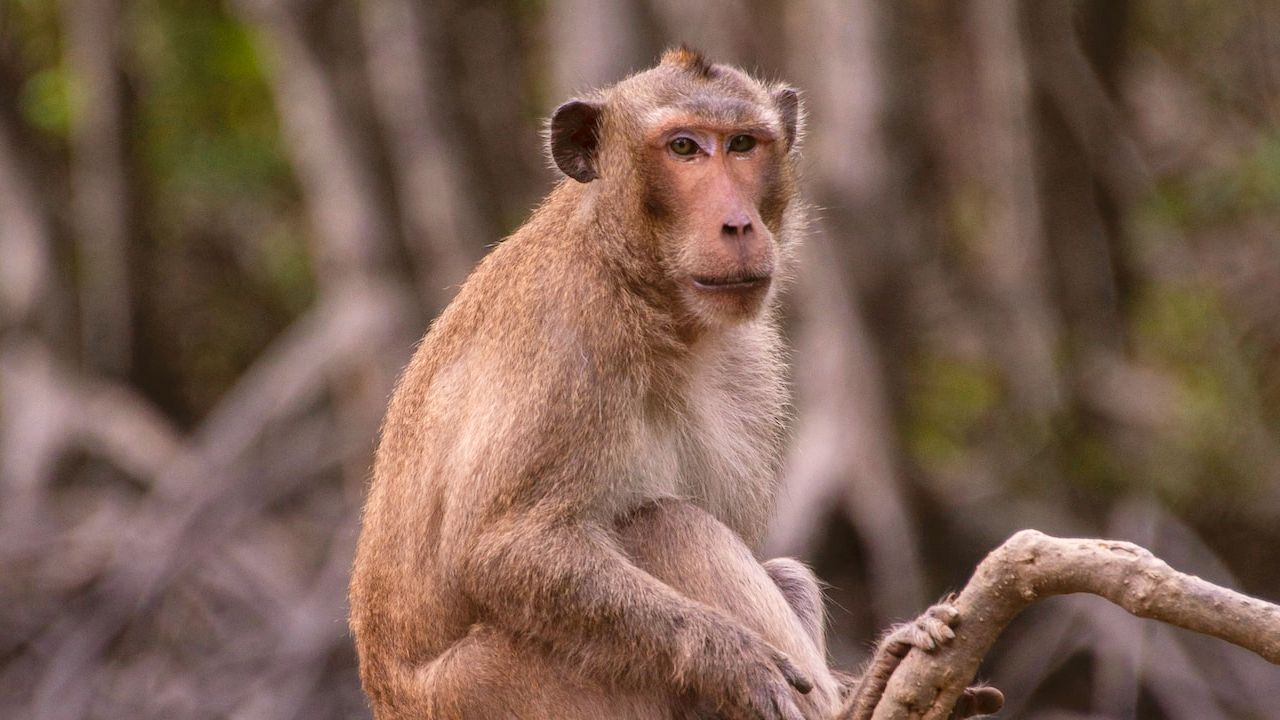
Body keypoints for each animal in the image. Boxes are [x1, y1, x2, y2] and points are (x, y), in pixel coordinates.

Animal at [350, 46, 998, 717]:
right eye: (684, 148)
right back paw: (861, 698)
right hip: (515, 687)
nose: (738, 224)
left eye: (742, 143)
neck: (642, 287)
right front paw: (731, 658)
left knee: (771, 566)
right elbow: (500, 549)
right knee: (666, 526)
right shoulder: (570, 337)